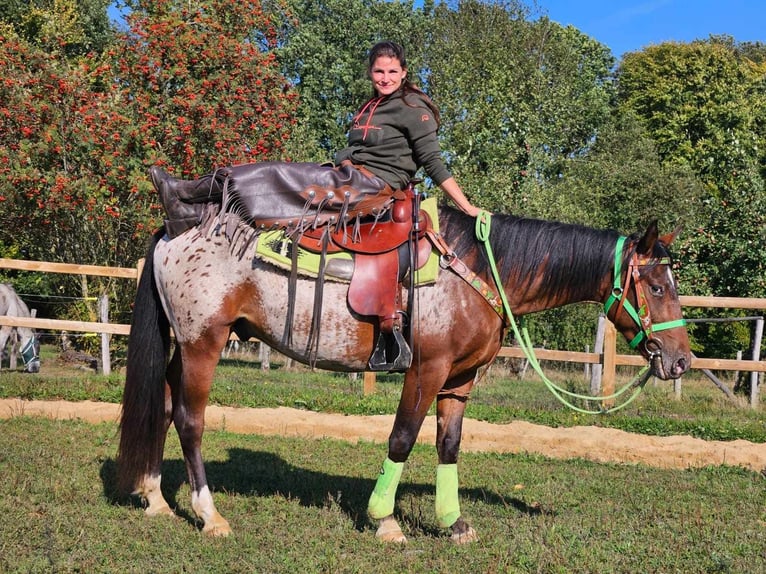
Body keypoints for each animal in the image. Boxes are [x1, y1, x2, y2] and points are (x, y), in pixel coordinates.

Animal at [117, 208, 692, 544]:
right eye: (657, 287)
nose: (682, 360)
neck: (477, 272)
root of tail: (174, 232)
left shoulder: (460, 379)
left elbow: (448, 445)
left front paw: (453, 522)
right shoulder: (426, 370)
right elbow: (402, 437)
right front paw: (385, 519)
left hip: (184, 347)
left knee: (163, 408)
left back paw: (155, 498)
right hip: (204, 343)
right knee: (190, 420)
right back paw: (209, 514)